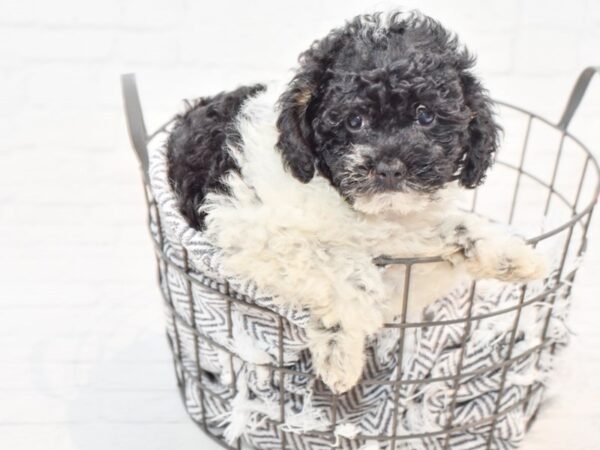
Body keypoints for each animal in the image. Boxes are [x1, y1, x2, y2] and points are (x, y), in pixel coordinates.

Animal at [165, 8, 548, 392]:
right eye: (354, 121)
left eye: (425, 115)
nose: (389, 168)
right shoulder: (245, 224)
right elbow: (332, 260)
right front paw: (344, 346)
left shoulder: (404, 227)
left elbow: (451, 225)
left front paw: (507, 253)